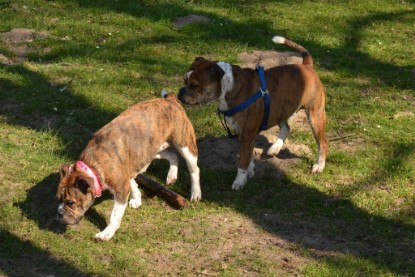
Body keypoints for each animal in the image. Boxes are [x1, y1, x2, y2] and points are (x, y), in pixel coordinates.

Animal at [57, 92, 203, 239]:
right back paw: (171, 176)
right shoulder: (126, 172)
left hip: (185, 145)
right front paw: (137, 198)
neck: (93, 165)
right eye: (59, 198)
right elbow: (133, 183)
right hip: (152, 151)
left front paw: (107, 233)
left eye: (70, 202)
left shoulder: (121, 189)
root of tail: (170, 99)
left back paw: (195, 193)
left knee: (194, 169)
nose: (59, 213)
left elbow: (114, 216)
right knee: (172, 155)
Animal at [178, 35, 328, 190]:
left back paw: (319, 165)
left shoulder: (248, 133)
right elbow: (247, 155)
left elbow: (243, 160)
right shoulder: (241, 132)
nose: (180, 92)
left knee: (322, 142)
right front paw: (249, 171)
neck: (229, 87)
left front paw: (239, 181)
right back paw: (275, 148)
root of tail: (306, 65)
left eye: (195, 85)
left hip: (315, 116)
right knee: (286, 127)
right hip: (280, 109)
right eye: (184, 80)